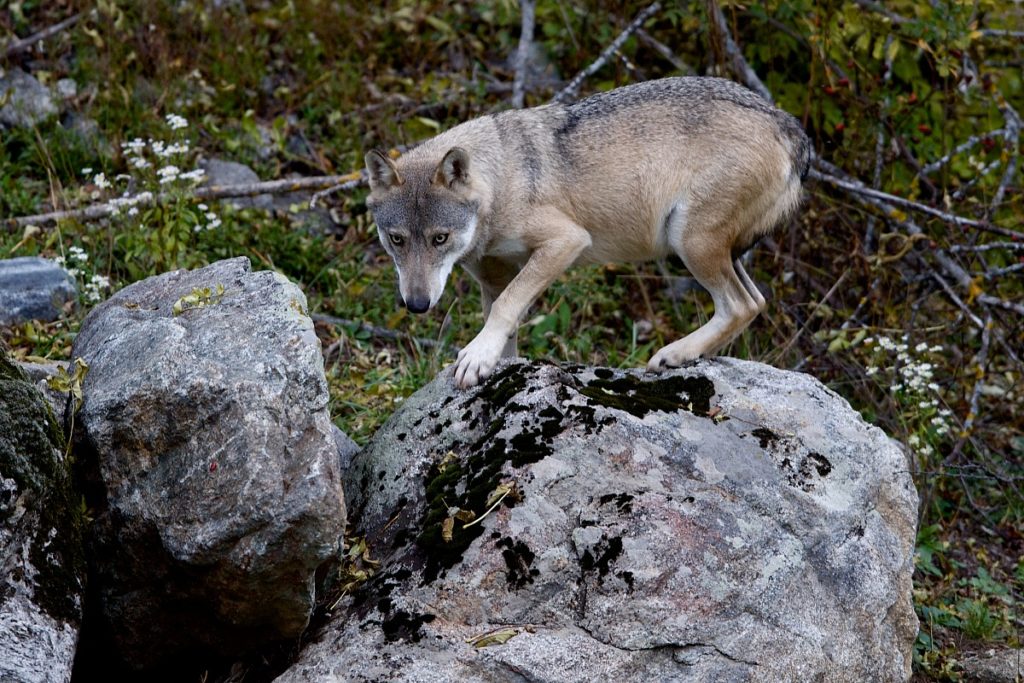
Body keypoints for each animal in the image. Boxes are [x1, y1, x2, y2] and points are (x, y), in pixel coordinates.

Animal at [362, 76, 806, 387]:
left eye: (440, 238)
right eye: (397, 240)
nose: (417, 305)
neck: (501, 181)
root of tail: (786, 121)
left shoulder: (566, 241)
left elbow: (506, 307)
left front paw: (476, 357)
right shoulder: (493, 278)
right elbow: (505, 325)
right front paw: (493, 364)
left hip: (689, 242)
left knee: (742, 305)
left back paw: (674, 354)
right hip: (710, 249)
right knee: (756, 301)